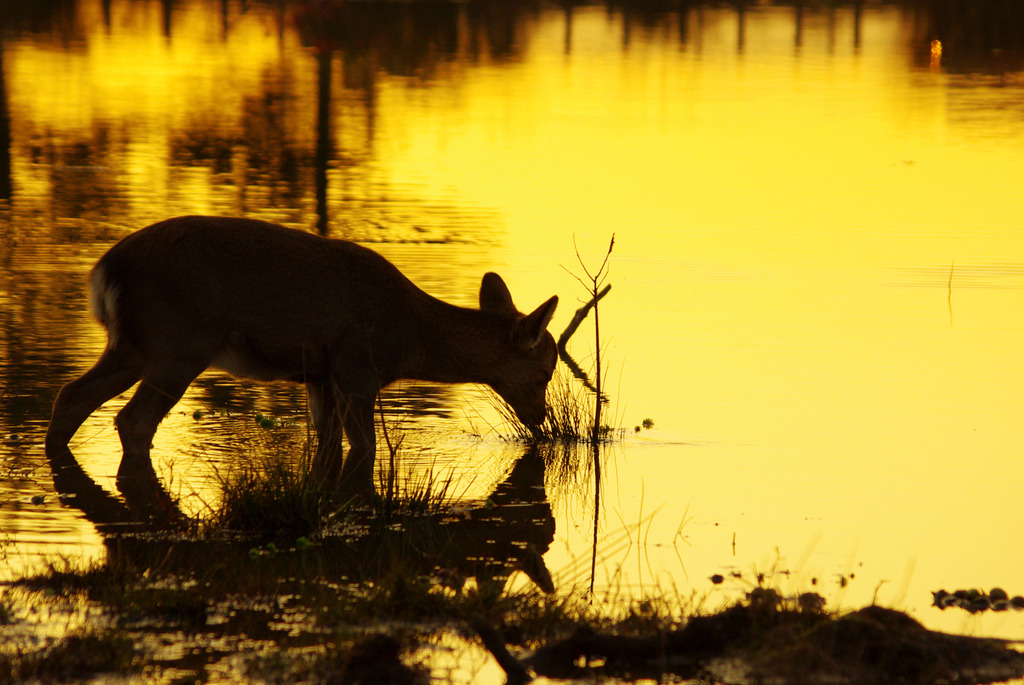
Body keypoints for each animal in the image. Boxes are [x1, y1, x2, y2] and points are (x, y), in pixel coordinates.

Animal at [44, 216, 561, 499]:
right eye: (544, 371)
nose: (541, 419)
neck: (411, 338)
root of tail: (105, 270)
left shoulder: (320, 375)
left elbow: (328, 444)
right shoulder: (356, 365)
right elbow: (364, 449)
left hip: (132, 346)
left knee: (71, 395)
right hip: (181, 341)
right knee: (133, 420)